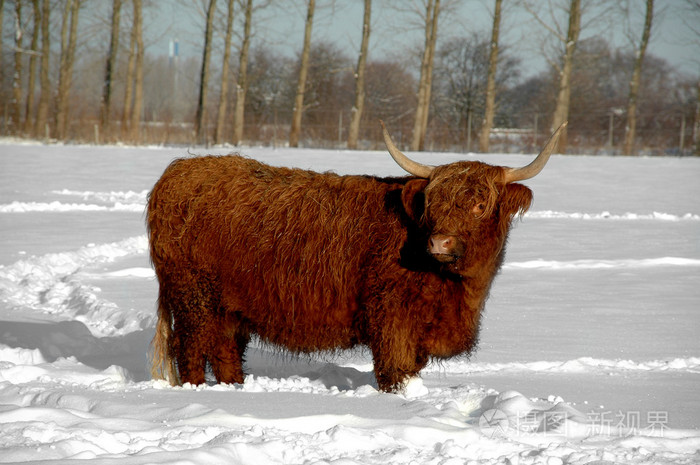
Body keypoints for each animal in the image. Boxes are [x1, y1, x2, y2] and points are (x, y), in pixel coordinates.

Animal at [150, 120, 568, 392]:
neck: (458, 292)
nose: (440, 244)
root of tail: (179, 171)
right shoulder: (393, 321)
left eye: (481, 205)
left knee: (225, 351)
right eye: (432, 204)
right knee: (191, 349)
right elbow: (394, 373)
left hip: (228, 307)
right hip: (193, 296)